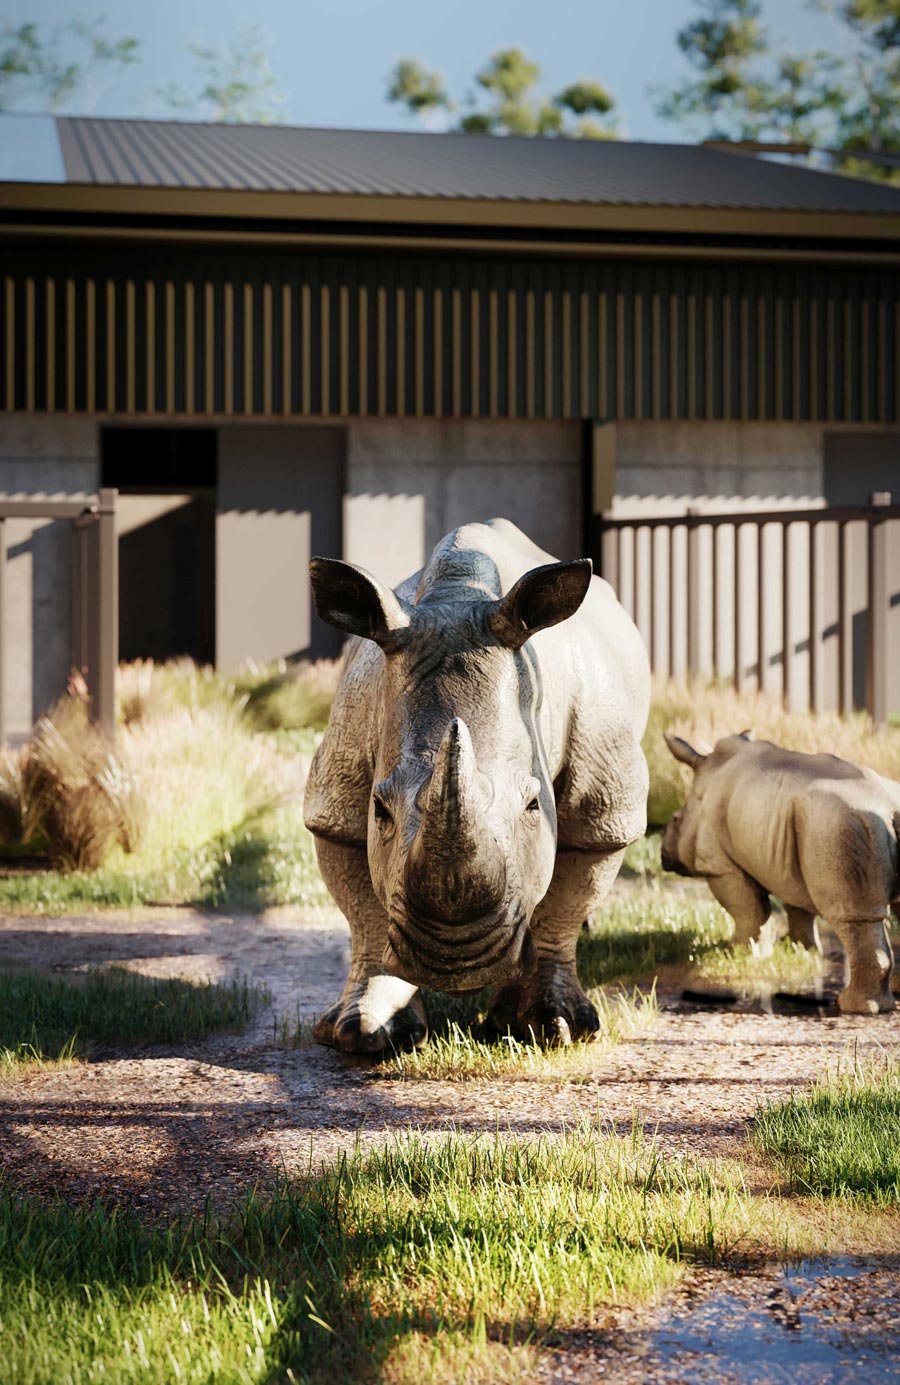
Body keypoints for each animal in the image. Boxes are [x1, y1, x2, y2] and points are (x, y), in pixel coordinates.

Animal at [303, 518, 650, 1053]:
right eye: (380, 810)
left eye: (533, 806)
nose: (453, 962)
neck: (456, 597)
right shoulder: (336, 796)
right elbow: (364, 913)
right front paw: (365, 1032)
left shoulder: (605, 801)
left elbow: (567, 901)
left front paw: (552, 1025)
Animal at [661, 732, 899, 1014]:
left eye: (675, 820)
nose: (663, 855)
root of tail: (890, 807)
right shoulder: (791, 852)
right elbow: (797, 907)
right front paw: (798, 949)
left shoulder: (720, 865)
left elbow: (749, 910)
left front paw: (739, 951)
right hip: (828, 824)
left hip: (841, 823)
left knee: (855, 916)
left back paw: (853, 1006)